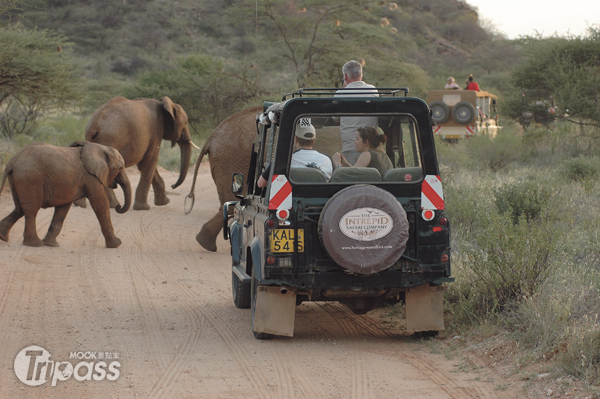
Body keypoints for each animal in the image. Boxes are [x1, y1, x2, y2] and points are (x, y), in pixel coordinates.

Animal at [0, 140, 132, 247]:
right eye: (121, 168)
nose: (118, 206)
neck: (100, 147)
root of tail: (12, 161)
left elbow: (63, 208)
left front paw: (51, 244)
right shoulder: (90, 177)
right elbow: (100, 204)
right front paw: (117, 244)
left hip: (19, 180)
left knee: (19, 209)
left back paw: (3, 237)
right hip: (30, 180)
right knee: (31, 210)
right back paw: (35, 244)